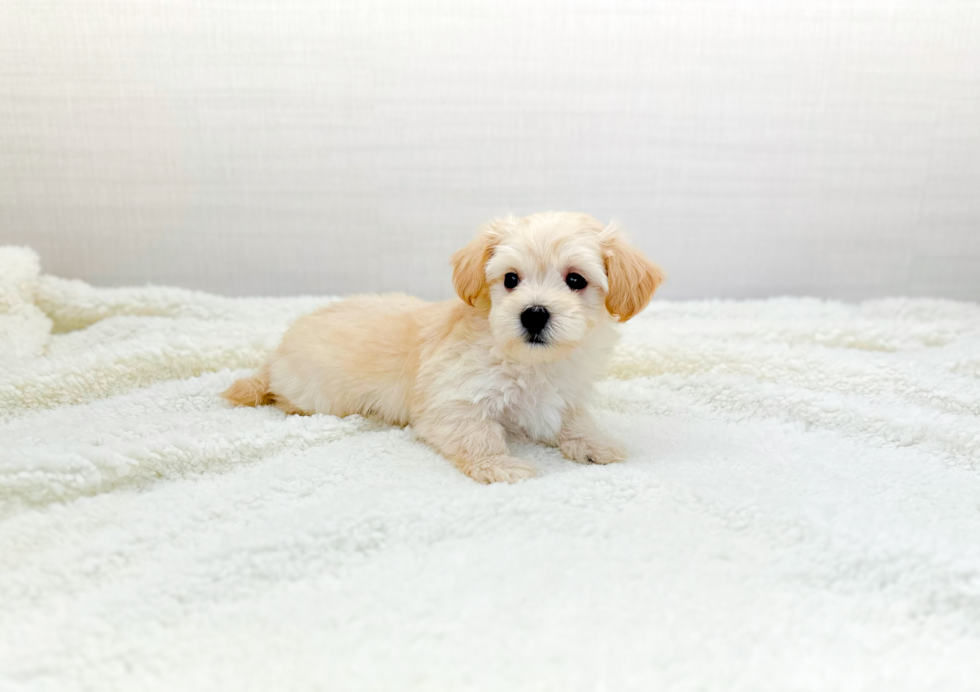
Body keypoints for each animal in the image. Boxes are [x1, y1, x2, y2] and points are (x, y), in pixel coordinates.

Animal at [226, 211, 664, 482]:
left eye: (576, 280)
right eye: (510, 279)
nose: (534, 314)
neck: (530, 362)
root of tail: (278, 352)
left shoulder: (565, 393)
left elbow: (575, 420)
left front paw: (597, 444)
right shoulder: (451, 402)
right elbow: (478, 436)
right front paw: (499, 467)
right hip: (317, 395)